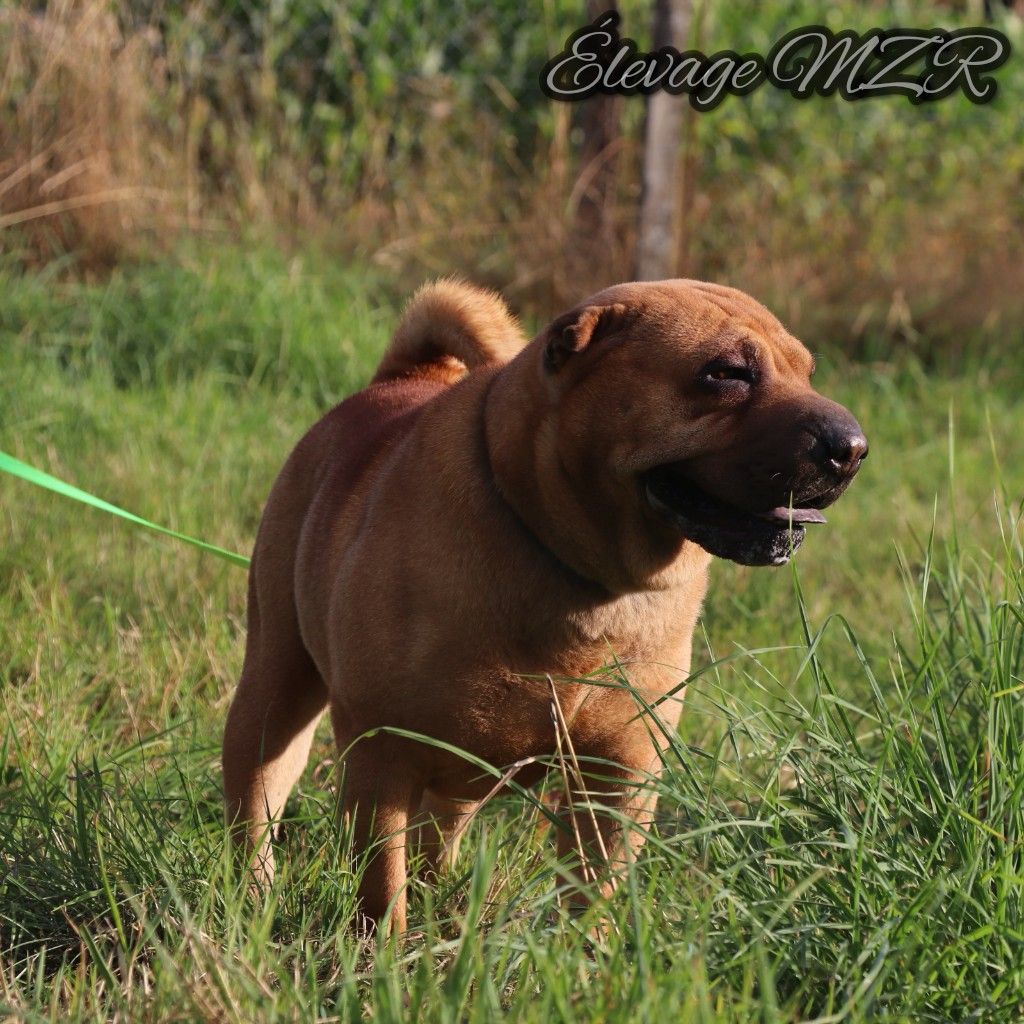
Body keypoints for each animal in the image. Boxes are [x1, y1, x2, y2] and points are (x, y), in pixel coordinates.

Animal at [222, 276, 864, 933]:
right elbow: (380, 885)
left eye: (807, 372)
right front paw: (382, 954)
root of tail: (398, 379)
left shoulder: (621, 771)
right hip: (277, 686)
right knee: (258, 799)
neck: (585, 576)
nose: (852, 447)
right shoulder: (383, 752)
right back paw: (254, 895)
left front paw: (586, 953)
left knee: (440, 833)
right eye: (726, 372)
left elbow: (594, 885)